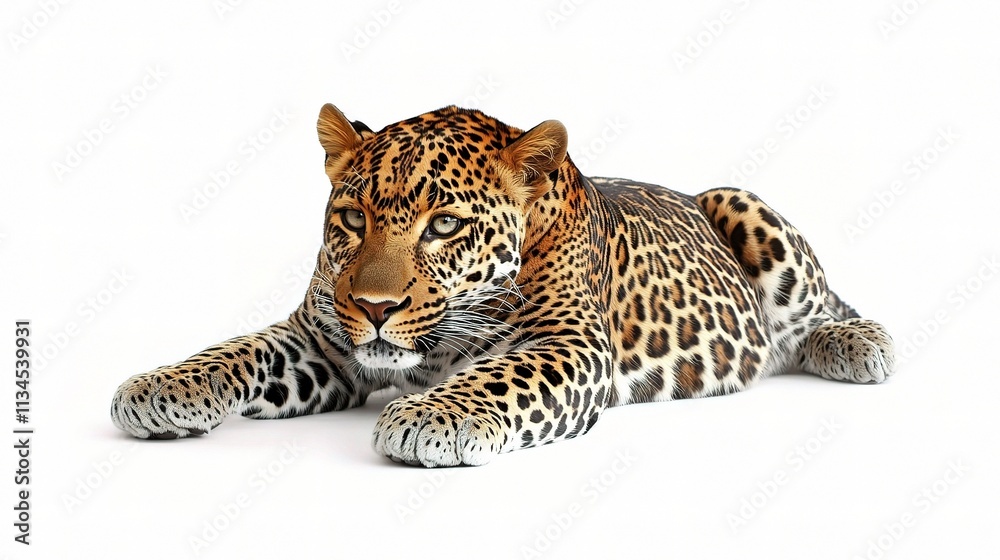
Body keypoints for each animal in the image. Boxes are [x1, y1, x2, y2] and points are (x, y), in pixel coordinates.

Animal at [111, 103, 896, 467]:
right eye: (354, 218)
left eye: (444, 226)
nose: (373, 307)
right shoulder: (324, 343)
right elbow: (239, 350)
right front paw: (159, 387)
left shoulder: (567, 342)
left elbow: (497, 376)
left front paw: (428, 417)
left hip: (741, 201)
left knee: (818, 310)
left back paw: (858, 343)